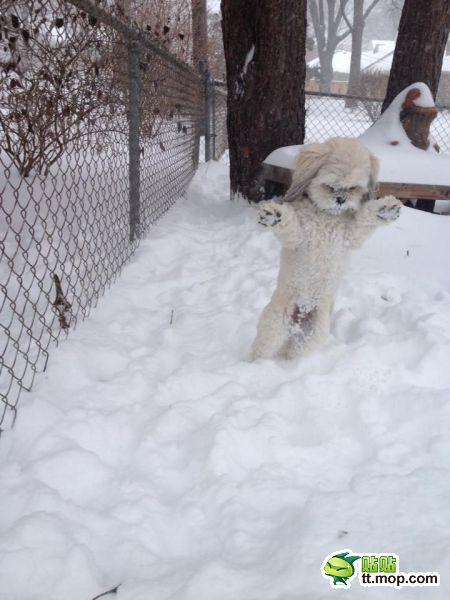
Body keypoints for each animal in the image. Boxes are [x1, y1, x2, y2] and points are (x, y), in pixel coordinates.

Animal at [251, 138, 402, 358]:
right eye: (329, 186)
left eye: (353, 188)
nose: (341, 199)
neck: (326, 216)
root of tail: (298, 320)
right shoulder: (300, 236)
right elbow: (289, 224)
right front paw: (273, 216)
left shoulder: (350, 235)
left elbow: (365, 219)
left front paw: (385, 209)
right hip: (274, 325)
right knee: (262, 350)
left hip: (313, 335)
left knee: (297, 351)